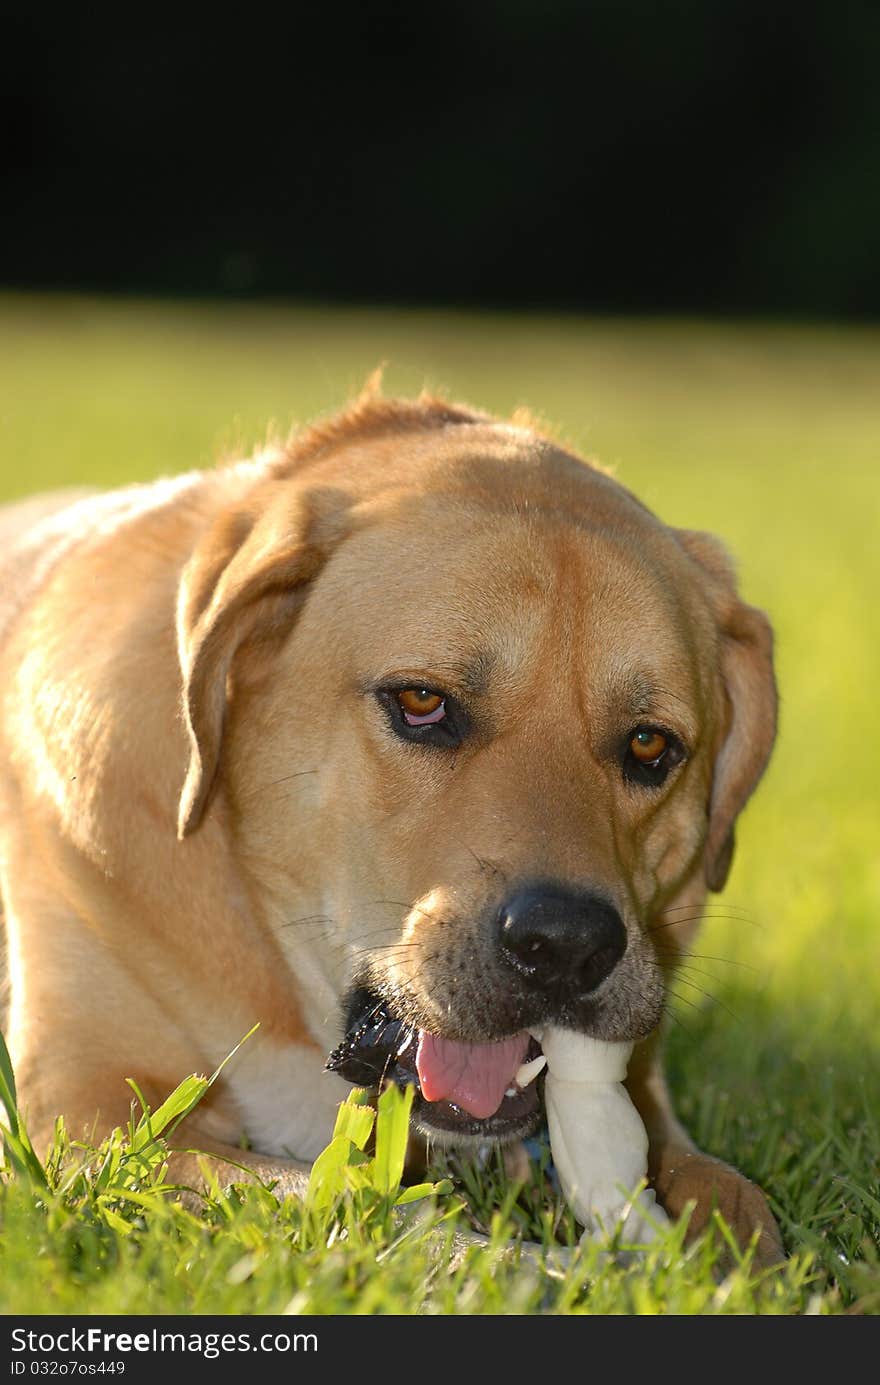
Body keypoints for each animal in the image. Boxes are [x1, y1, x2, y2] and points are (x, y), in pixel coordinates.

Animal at [0, 390, 787, 1268]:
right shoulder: (91, 1116)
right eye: (421, 702)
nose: (567, 944)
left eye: (651, 745)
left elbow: (728, 1190)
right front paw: (537, 1269)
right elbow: (363, 1206)